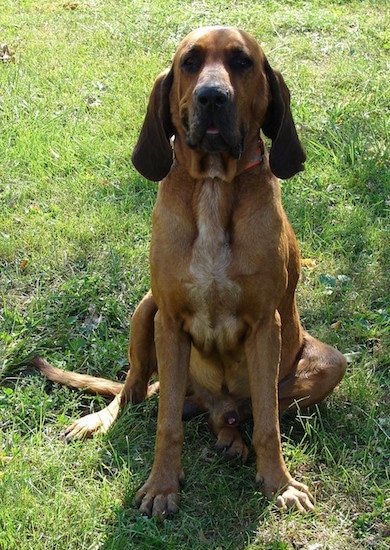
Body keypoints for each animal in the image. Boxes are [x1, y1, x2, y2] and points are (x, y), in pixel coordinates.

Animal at [32, 25, 346, 524]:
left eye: (241, 62)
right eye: (190, 63)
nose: (212, 97)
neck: (214, 186)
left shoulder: (265, 327)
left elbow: (269, 422)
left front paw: (279, 484)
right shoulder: (170, 321)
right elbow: (165, 426)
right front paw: (162, 485)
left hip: (330, 363)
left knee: (243, 413)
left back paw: (231, 439)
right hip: (146, 311)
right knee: (135, 391)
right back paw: (102, 420)